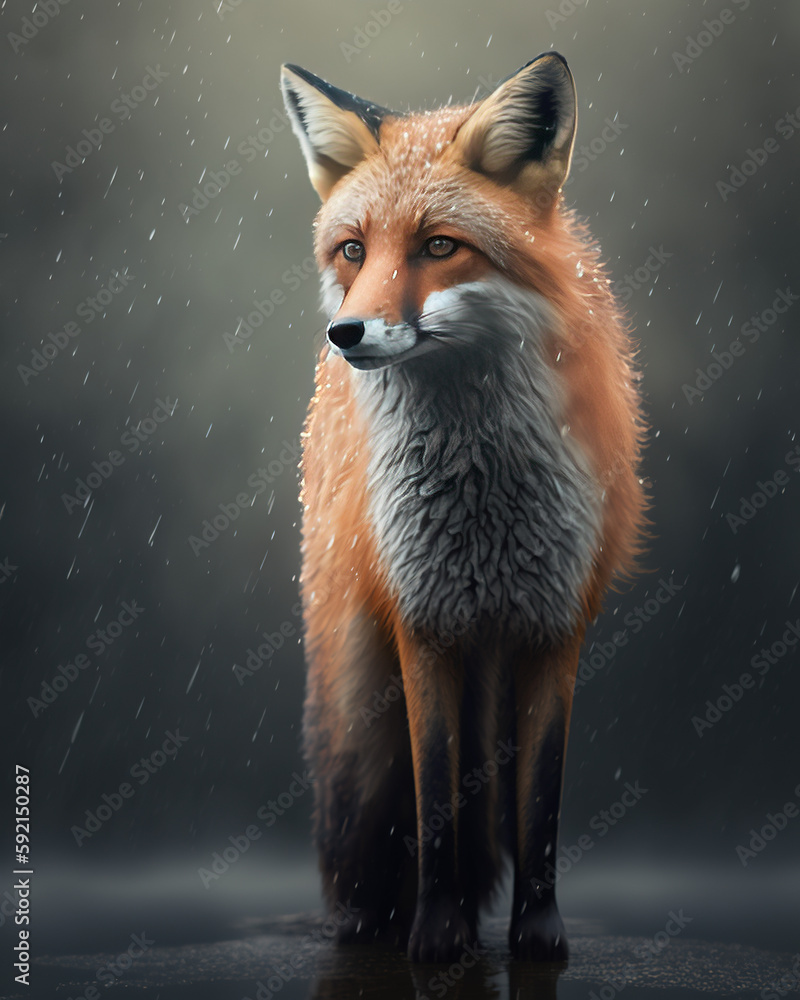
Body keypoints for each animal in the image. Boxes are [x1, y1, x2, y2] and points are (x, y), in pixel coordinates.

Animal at [280, 52, 647, 964]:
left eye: (439, 246)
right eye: (353, 250)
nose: (347, 334)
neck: (483, 499)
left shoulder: (557, 621)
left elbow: (540, 807)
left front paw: (538, 934)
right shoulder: (424, 618)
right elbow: (439, 797)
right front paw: (438, 935)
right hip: (359, 703)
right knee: (371, 823)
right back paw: (363, 923)